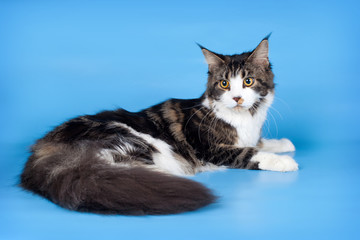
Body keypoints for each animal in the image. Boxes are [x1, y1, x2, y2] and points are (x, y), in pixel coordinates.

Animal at [21, 36, 300, 216]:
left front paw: (283, 144)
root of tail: (41, 149)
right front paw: (285, 161)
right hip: (132, 140)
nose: (237, 98)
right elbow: (250, 152)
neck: (246, 119)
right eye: (224, 84)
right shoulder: (212, 150)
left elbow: (260, 143)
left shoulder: (249, 135)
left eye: (248, 82)